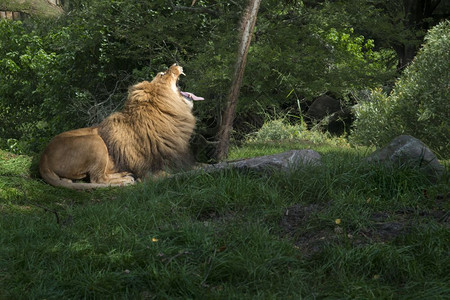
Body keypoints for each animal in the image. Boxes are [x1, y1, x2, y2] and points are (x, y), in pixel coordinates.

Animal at [38, 63, 204, 190]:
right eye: (163, 74)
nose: (176, 63)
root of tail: (43, 158)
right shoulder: (152, 169)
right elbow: (175, 174)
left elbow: (200, 165)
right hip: (95, 142)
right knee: (97, 179)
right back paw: (125, 180)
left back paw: (125, 174)